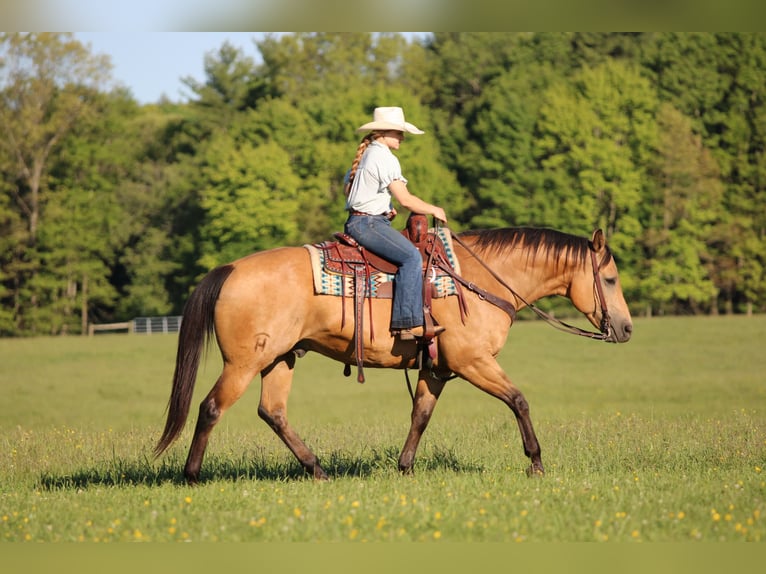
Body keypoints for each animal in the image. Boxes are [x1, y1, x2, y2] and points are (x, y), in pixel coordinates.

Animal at [154, 225, 633, 483]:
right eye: (609, 279)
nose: (627, 329)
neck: (475, 280)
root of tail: (230, 269)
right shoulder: (473, 361)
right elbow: (519, 400)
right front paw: (535, 463)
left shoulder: (438, 369)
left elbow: (421, 414)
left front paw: (404, 467)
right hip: (244, 363)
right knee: (211, 407)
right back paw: (191, 476)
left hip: (279, 359)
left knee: (272, 413)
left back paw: (318, 470)